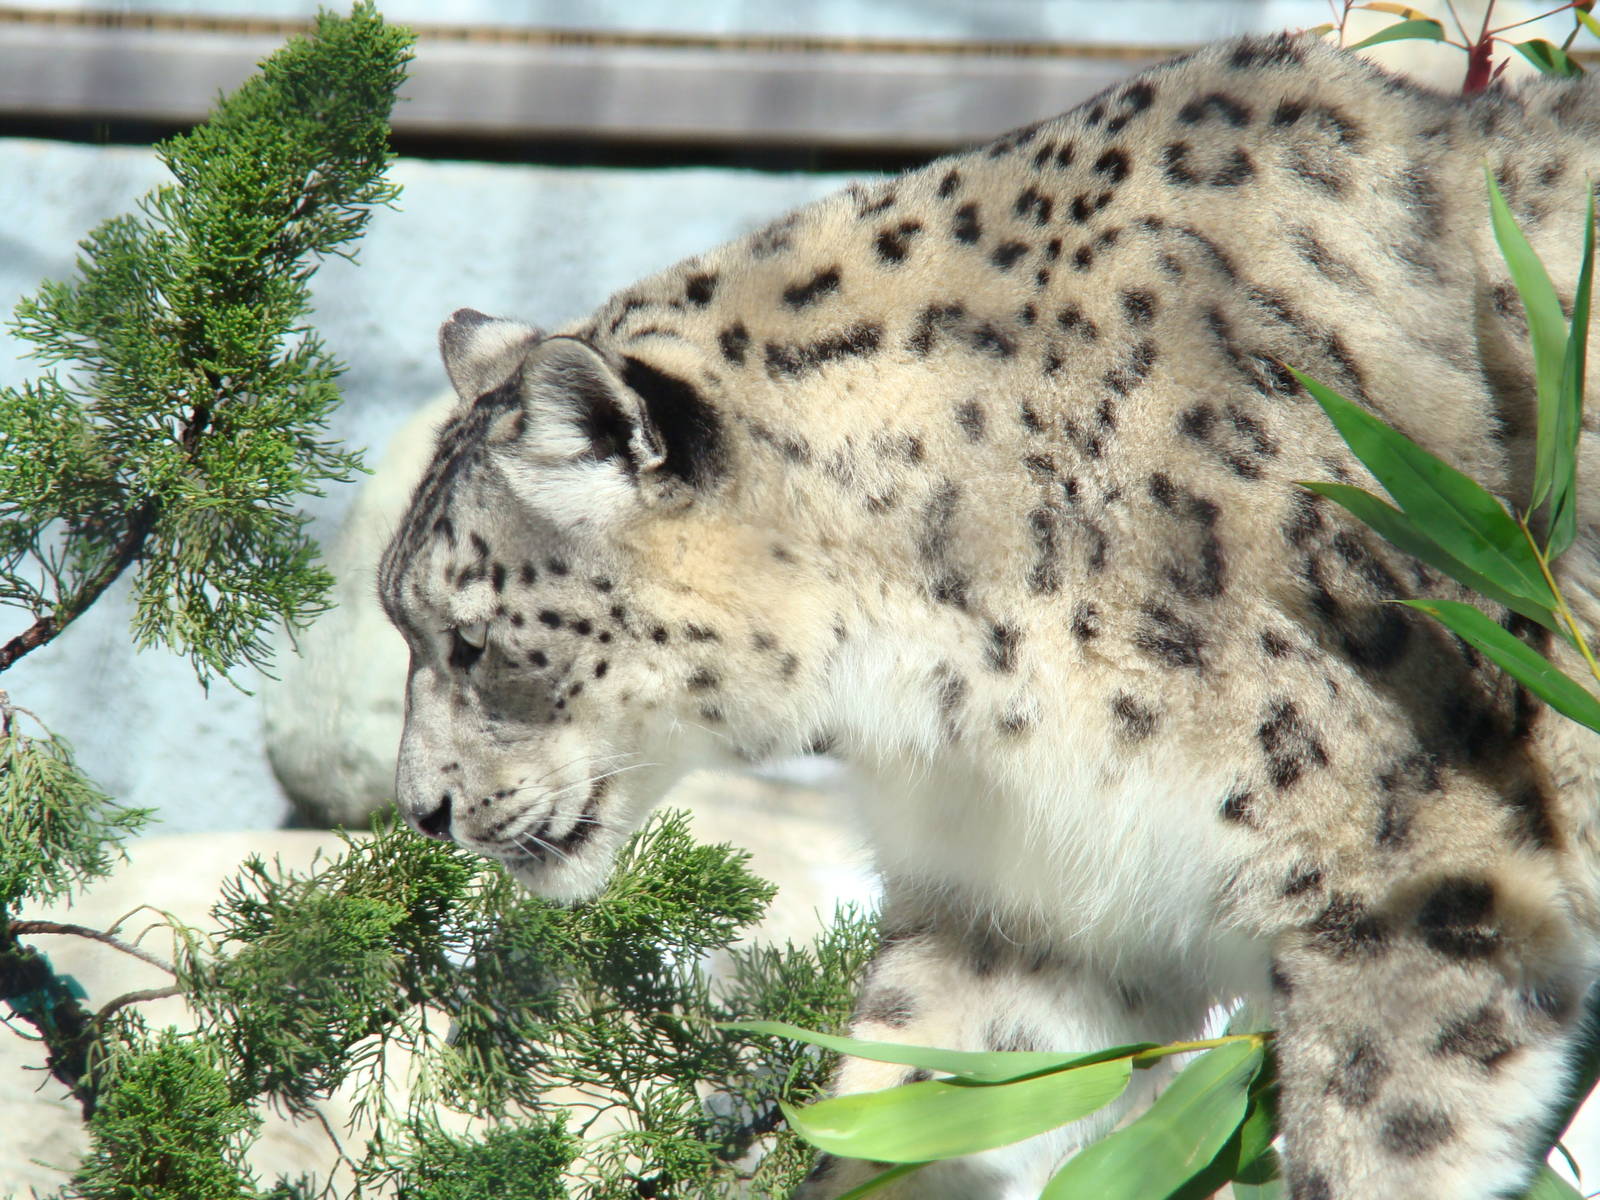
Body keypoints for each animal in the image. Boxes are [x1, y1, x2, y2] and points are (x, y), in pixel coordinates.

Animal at [377, 32, 1600, 1199]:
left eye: (471, 641)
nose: (422, 812)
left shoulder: (1406, 870)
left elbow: (1384, 1129)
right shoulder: (1026, 908)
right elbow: (928, 1104)